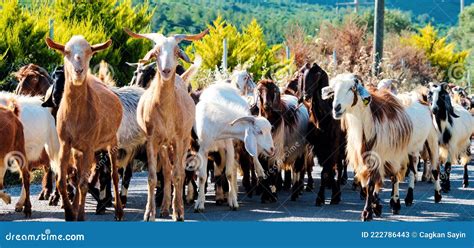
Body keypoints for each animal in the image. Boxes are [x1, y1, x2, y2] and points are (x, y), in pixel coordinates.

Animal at [45, 35, 123, 221]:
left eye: (89, 52)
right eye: (66, 51)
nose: (79, 71)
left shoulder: (89, 146)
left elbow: (83, 184)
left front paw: (79, 215)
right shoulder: (65, 144)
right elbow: (62, 181)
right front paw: (69, 212)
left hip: (112, 141)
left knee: (114, 175)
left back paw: (118, 211)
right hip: (77, 150)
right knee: (78, 174)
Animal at [126, 28, 207, 222]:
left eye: (177, 51)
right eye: (156, 52)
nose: (166, 70)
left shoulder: (179, 140)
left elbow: (178, 174)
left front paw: (178, 212)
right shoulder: (151, 140)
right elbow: (153, 177)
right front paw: (150, 213)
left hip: (183, 141)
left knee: (179, 172)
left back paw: (178, 207)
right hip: (164, 145)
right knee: (167, 171)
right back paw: (164, 208)